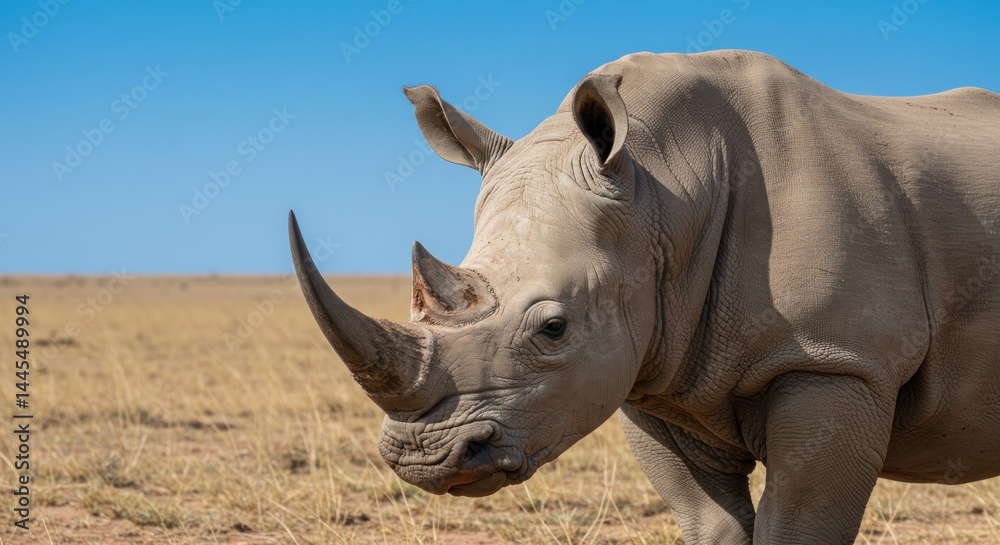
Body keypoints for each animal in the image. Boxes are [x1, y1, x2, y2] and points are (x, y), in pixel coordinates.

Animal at [288, 50, 1000, 543]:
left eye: (553, 328)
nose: (424, 458)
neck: (666, 187)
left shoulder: (835, 359)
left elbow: (798, 526)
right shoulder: (655, 370)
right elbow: (713, 525)